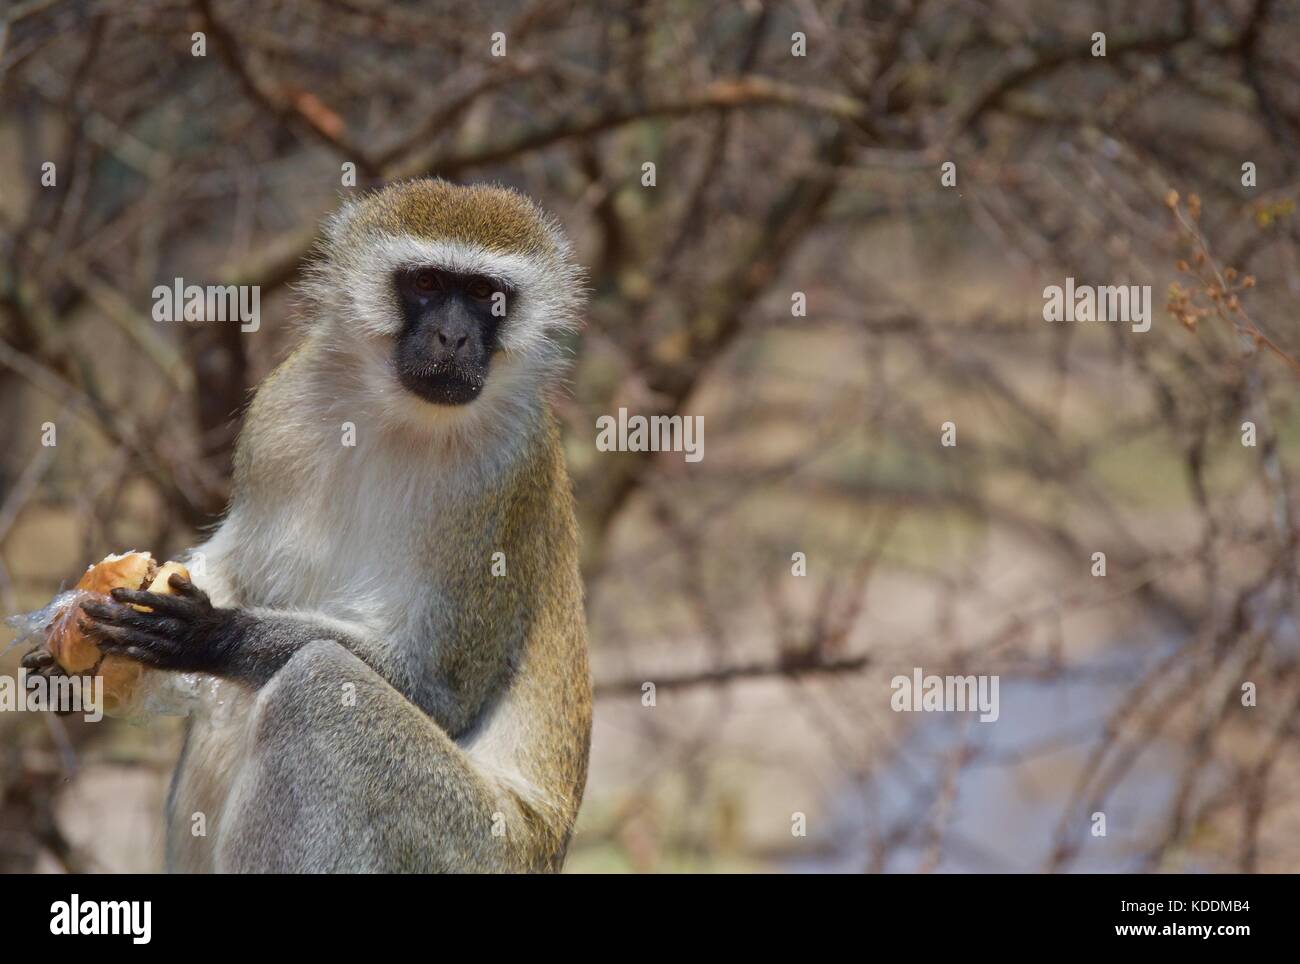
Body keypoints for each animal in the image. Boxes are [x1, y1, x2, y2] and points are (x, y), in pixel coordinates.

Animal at [78, 178, 592, 873]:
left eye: (489, 297)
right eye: (426, 283)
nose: (454, 338)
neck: (398, 416)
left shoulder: (506, 478)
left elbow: (438, 687)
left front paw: (214, 634)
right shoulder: (280, 410)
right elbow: (239, 566)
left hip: (469, 843)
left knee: (318, 690)